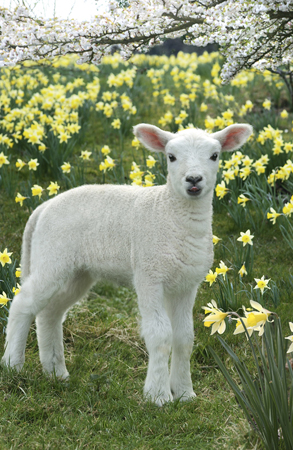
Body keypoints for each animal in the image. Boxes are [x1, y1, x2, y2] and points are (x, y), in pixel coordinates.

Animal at [1, 122, 251, 404]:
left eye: (215, 156)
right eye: (171, 157)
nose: (194, 180)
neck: (171, 213)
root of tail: (43, 208)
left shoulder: (186, 285)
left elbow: (184, 337)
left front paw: (185, 393)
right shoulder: (149, 276)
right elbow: (160, 334)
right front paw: (158, 396)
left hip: (77, 271)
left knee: (49, 313)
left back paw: (56, 372)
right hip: (52, 257)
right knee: (22, 304)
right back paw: (12, 365)